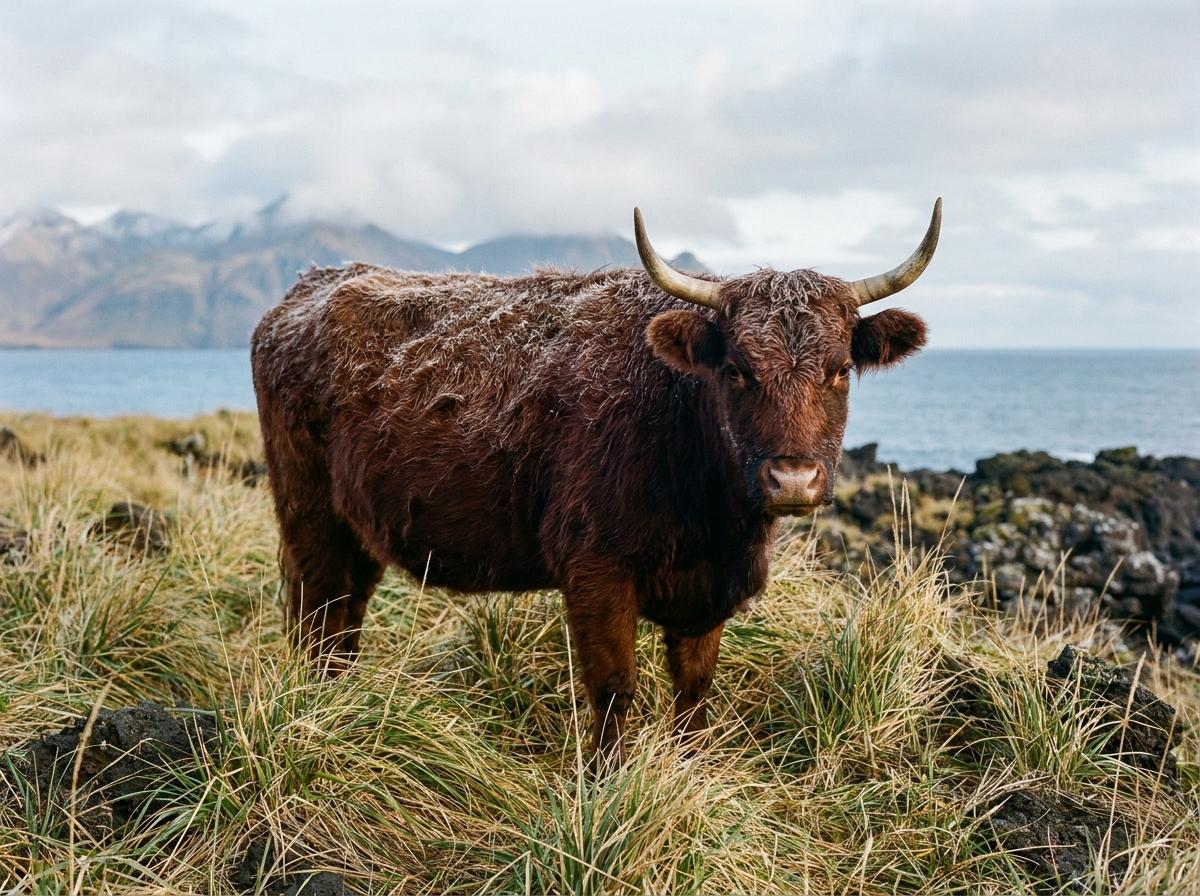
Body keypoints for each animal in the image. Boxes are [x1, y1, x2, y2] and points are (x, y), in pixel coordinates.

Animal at [250, 199, 941, 766]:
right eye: (738, 370)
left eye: (840, 369)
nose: (792, 478)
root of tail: (307, 287)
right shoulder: (595, 571)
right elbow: (614, 689)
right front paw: (607, 781)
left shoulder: (706, 592)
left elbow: (694, 689)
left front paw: (690, 767)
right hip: (308, 513)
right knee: (316, 616)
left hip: (359, 528)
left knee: (345, 618)